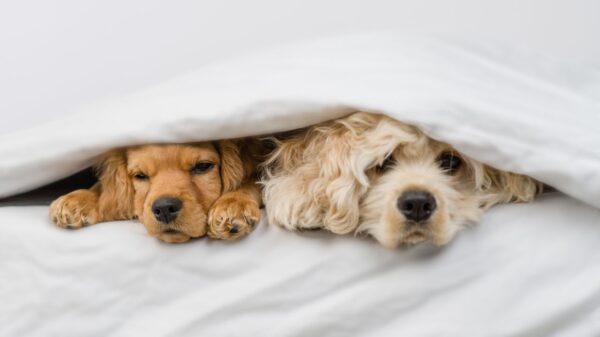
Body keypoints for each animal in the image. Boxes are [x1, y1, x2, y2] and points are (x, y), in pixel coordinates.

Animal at [48, 139, 262, 242]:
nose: (165, 208)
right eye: (140, 175)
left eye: (202, 166)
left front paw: (231, 205)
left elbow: (252, 180)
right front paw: (76, 200)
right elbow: (107, 189)